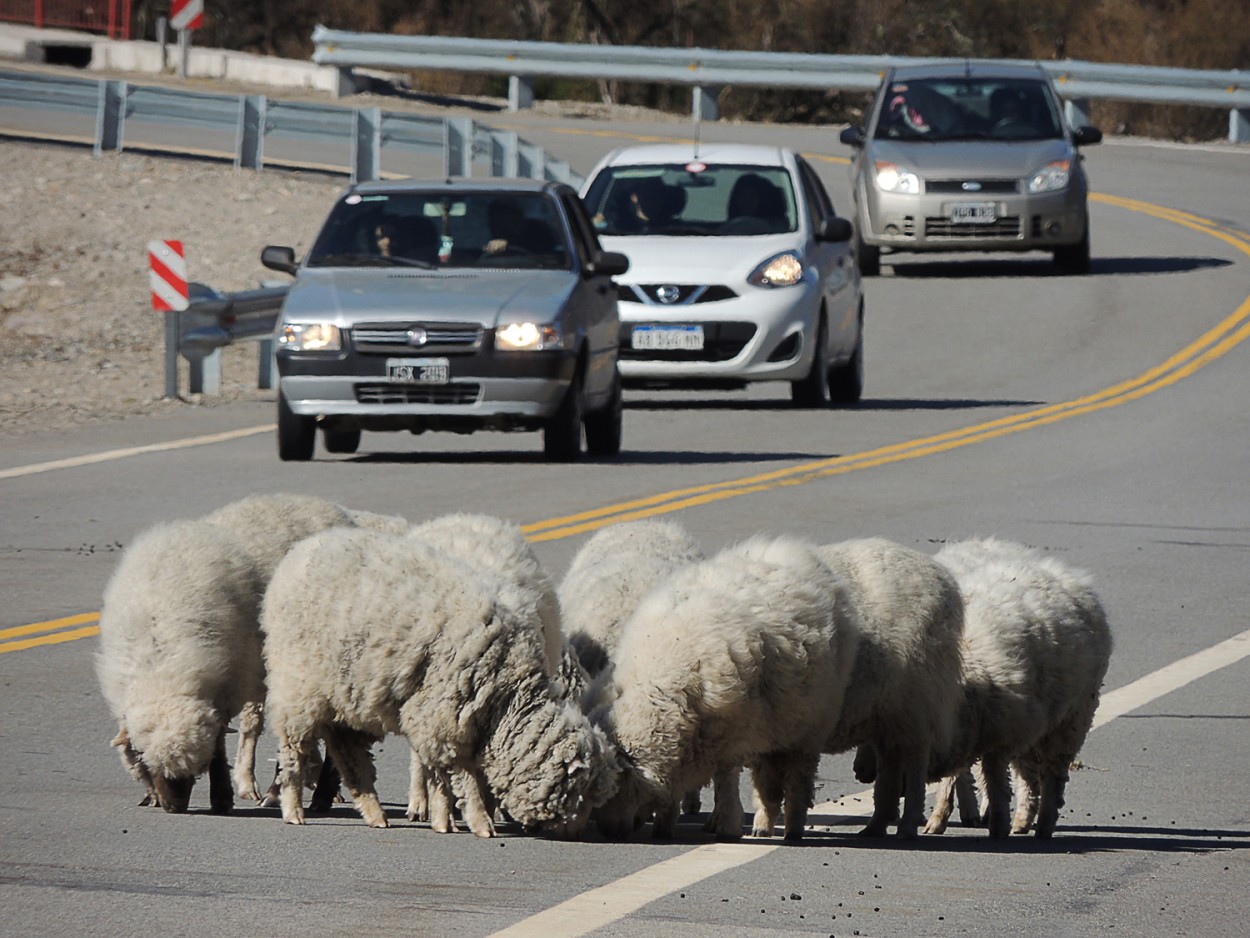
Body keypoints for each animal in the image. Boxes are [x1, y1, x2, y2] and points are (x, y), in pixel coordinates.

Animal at [262, 530, 620, 835]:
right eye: (584, 794)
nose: (579, 833)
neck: (507, 698)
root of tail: (302, 549)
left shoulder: (437, 721)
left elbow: (441, 776)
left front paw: (443, 819)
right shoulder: (442, 717)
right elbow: (462, 777)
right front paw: (479, 822)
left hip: (348, 698)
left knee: (347, 752)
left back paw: (374, 814)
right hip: (297, 685)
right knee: (295, 748)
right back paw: (293, 810)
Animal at [587, 535, 860, 845]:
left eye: (616, 786)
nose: (608, 832)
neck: (658, 678)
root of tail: (791, 550)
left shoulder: (728, 735)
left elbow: (725, 779)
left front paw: (728, 826)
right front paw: (665, 826)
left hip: (811, 727)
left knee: (799, 778)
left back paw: (793, 828)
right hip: (774, 723)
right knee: (767, 781)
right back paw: (761, 824)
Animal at [920, 540, 1115, 840]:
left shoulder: (995, 734)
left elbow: (994, 781)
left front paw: (996, 825)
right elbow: (957, 776)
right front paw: (938, 819)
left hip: (1071, 719)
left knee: (1053, 775)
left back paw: (1042, 826)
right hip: (1034, 726)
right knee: (1029, 775)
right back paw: (1022, 821)